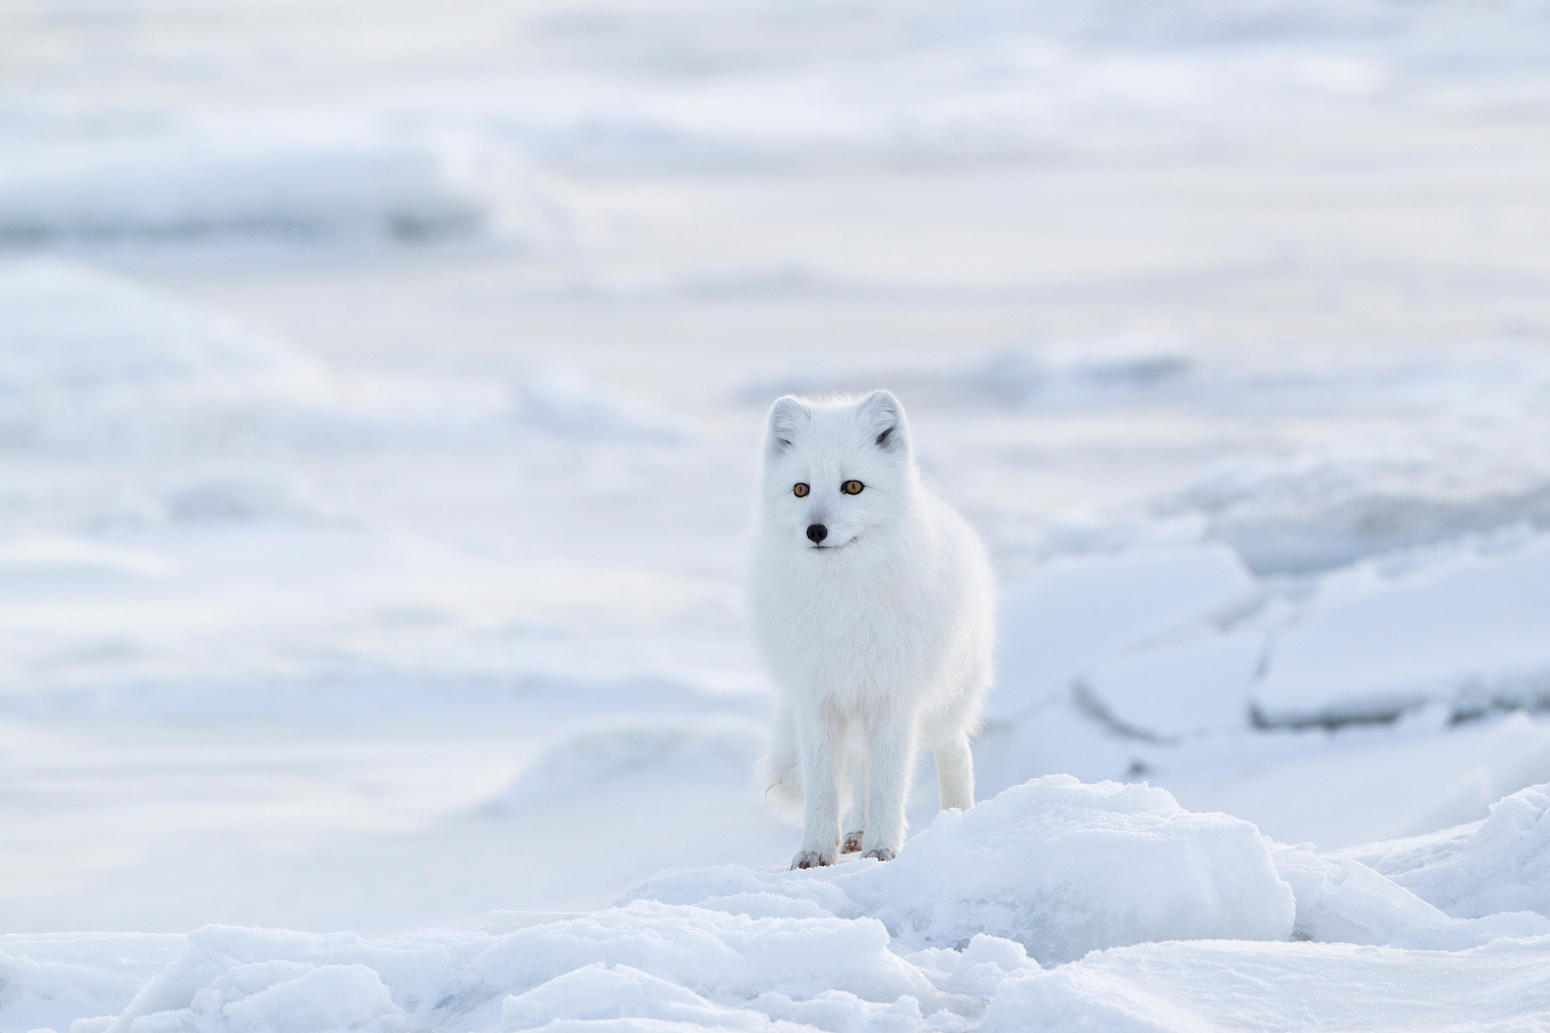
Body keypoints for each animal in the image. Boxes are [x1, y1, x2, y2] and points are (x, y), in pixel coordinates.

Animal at [750, 390, 992, 862]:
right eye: (801, 489)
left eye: (853, 487)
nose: (816, 530)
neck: (844, 601)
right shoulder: (817, 699)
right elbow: (824, 786)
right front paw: (814, 853)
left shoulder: (894, 698)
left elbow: (888, 783)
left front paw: (883, 849)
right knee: (861, 771)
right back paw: (855, 832)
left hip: (947, 703)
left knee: (954, 752)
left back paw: (958, 820)